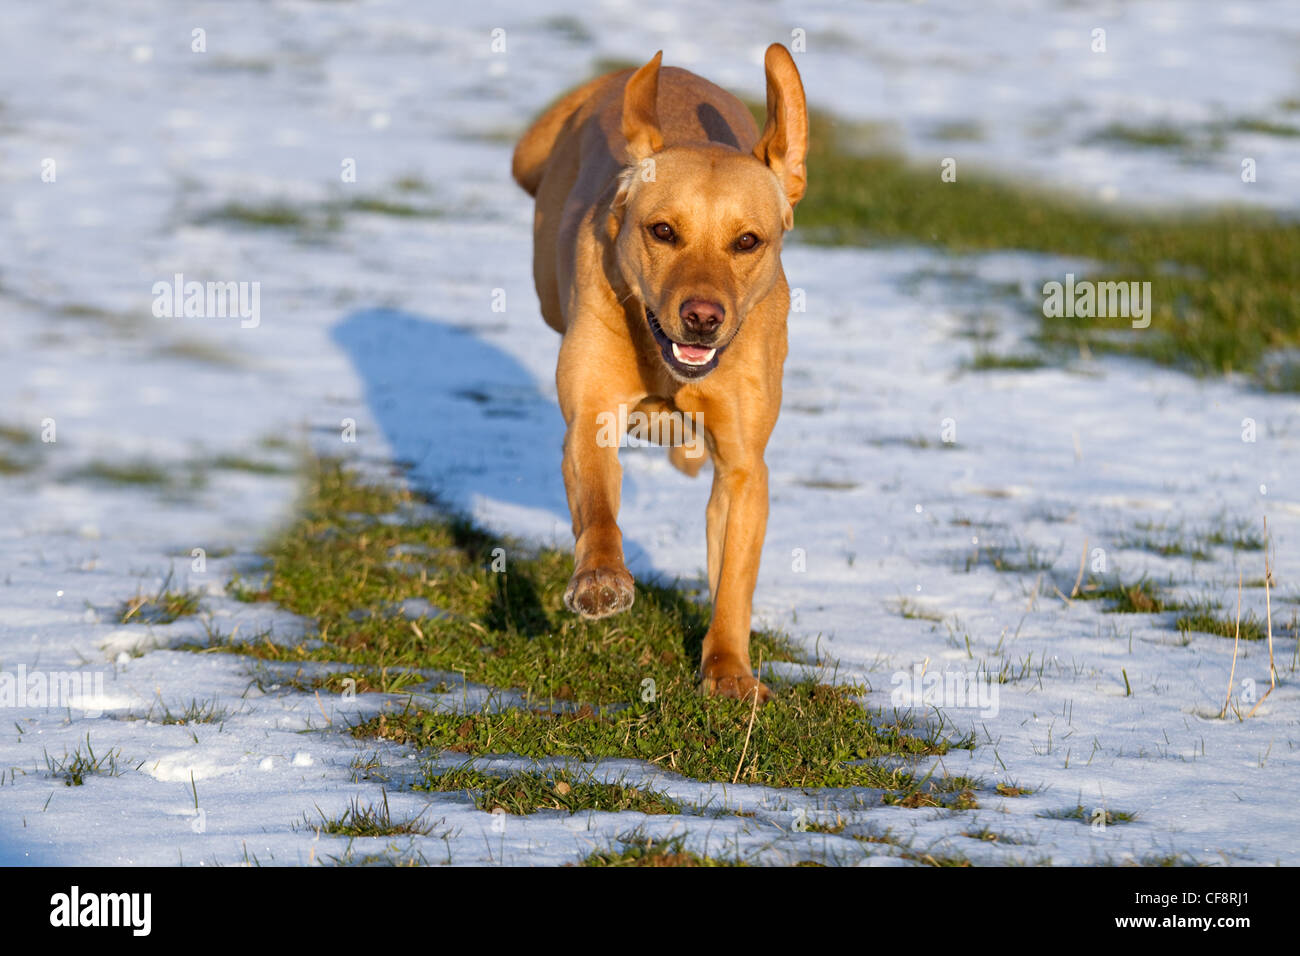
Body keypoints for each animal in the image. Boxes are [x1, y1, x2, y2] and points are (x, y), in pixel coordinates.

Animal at [506, 44, 800, 702]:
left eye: (748, 241)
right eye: (663, 230)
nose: (703, 318)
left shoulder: (744, 467)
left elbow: (733, 581)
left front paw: (729, 671)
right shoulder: (591, 415)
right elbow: (597, 506)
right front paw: (600, 579)